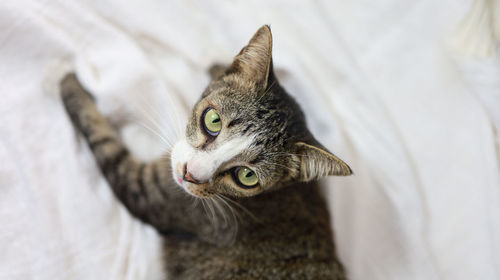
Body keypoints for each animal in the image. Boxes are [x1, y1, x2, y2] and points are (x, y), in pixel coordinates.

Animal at [59, 25, 352, 278]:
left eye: (246, 176)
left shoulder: (158, 195)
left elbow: (103, 139)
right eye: (213, 121)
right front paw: (217, 66)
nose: (190, 174)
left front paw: (70, 84)